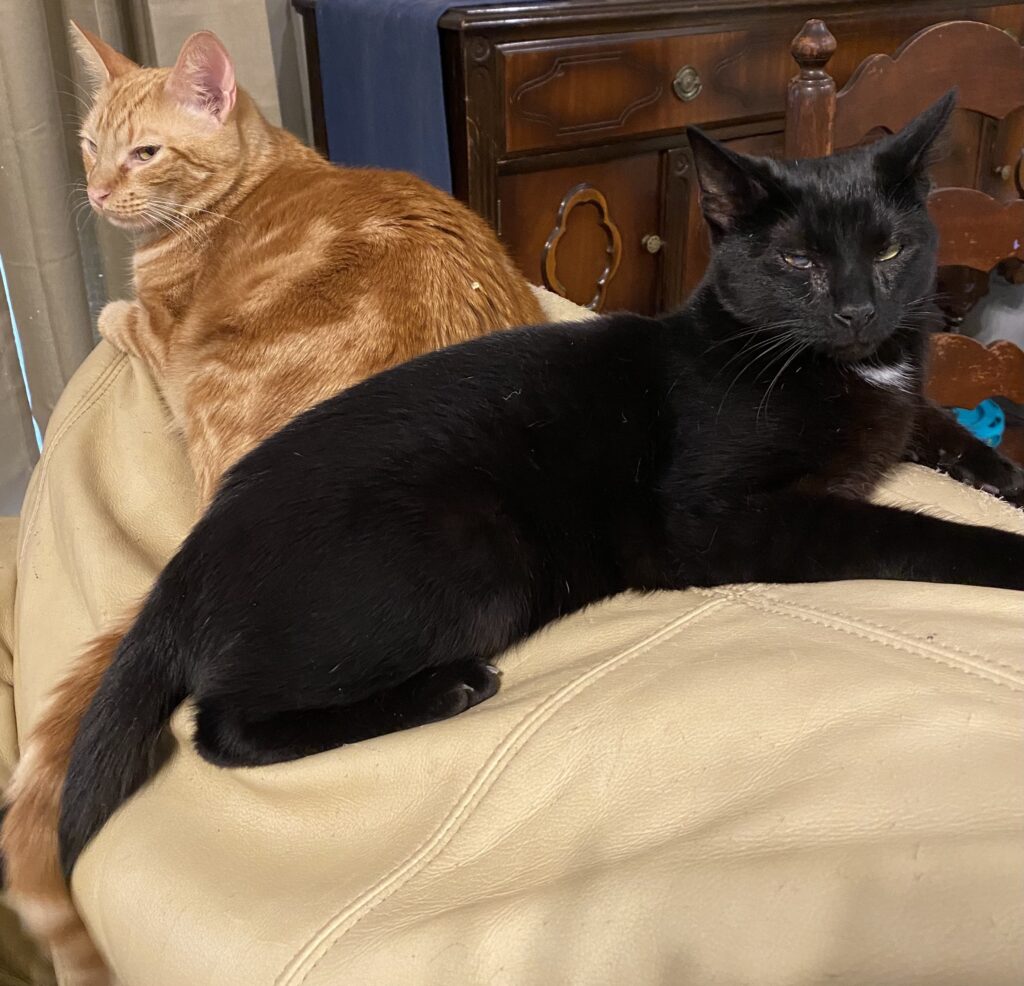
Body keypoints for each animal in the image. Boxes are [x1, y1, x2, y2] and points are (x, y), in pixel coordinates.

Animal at [0, 25, 544, 986]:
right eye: (90, 145)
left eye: (146, 153)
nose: (97, 192)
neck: (261, 177)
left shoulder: (172, 343)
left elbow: (134, 323)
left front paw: (111, 311)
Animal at [61, 92, 1024, 876]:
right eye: (798, 263)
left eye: (891, 248)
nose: (861, 309)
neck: (849, 369)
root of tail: (189, 559)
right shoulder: (715, 514)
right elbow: (905, 530)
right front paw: (1006, 549)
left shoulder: (900, 410)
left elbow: (937, 424)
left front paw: (1004, 472)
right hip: (472, 561)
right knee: (220, 729)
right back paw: (447, 688)